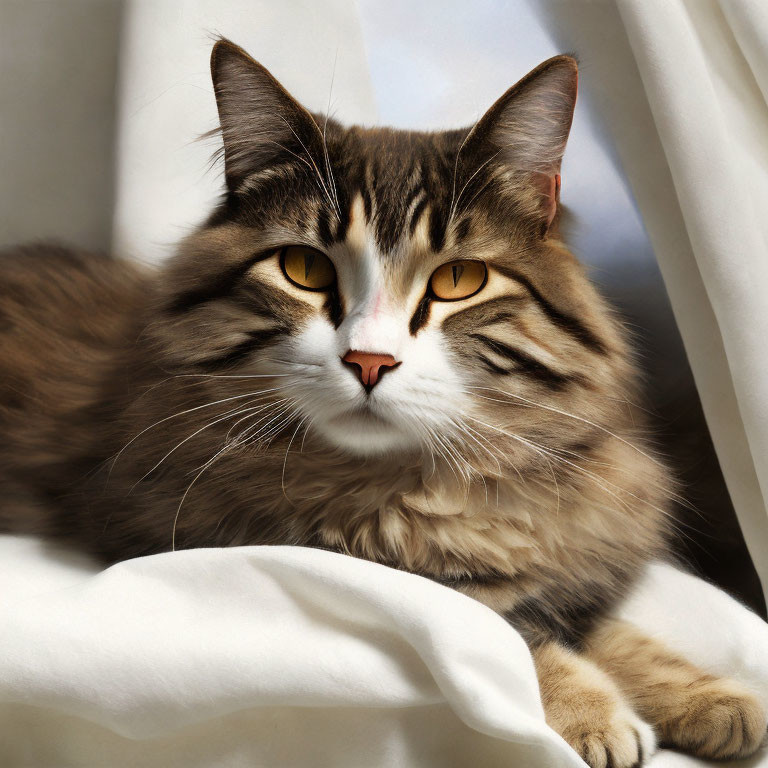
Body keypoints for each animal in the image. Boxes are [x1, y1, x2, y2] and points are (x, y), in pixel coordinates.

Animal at [1, 40, 768, 768]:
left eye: (459, 279)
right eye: (303, 268)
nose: (369, 361)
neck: (426, 484)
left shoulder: (567, 557)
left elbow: (607, 627)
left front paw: (717, 699)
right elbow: (511, 624)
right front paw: (595, 717)